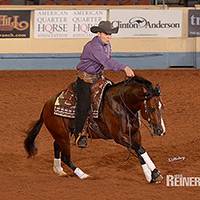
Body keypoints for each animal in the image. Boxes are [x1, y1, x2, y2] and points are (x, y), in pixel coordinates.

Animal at [24, 76, 166, 184]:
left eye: (162, 106)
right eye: (152, 108)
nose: (160, 131)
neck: (120, 103)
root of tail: (47, 104)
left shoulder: (135, 133)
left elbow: (140, 151)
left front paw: (149, 176)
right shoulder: (119, 136)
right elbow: (140, 149)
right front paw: (155, 173)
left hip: (62, 134)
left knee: (56, 146)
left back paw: (59, 170)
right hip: (62, 135)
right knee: (66, 157)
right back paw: (83, 175)